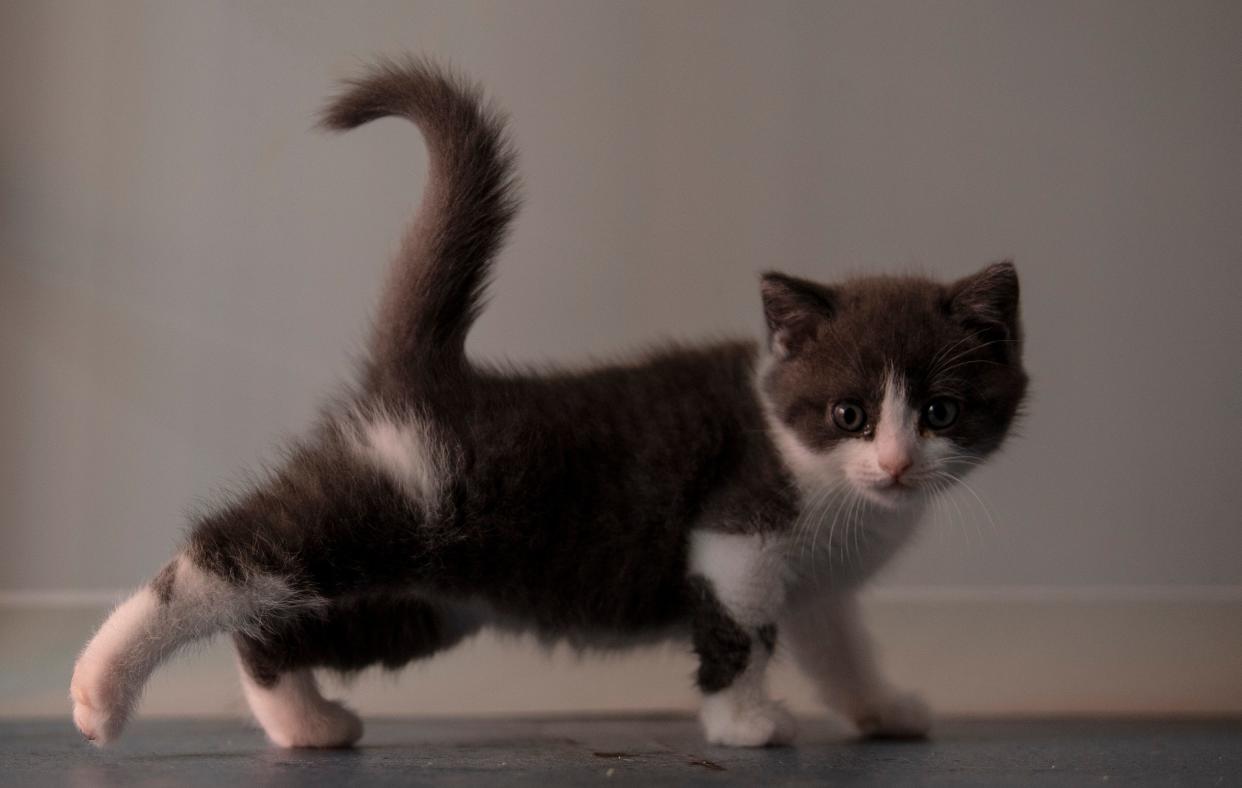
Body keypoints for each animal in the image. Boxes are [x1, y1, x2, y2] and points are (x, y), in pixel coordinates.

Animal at [72, 58, 1033, 745]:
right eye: (849, 415)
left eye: (942, 412)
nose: (896, 462)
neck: (831, 489)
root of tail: (427, 374)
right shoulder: (741, 531)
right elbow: (737, 631)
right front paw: (745, 723)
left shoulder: (822, 586)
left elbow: (840, 649)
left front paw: (883, 710)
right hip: (391, 498)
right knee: (225, 556)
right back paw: (99, 686)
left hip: (430, 600)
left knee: (276, 631)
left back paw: (304, 721)